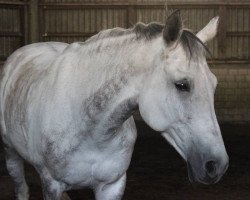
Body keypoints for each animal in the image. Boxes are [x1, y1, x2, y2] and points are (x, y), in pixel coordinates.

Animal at [0, 11, 229, 200]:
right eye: (182, 85)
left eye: (214, 84)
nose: (217, 165)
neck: (91, 130)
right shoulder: (52, 184)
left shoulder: (112, 185)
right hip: (11, 154)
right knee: (22, 189)